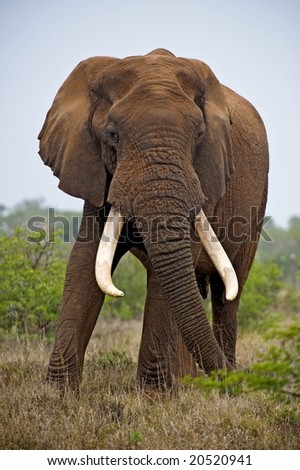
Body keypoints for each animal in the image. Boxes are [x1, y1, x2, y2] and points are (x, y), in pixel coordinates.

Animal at [38, 49, 270, 392]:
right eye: (112, 134)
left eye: (199, 135)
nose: (234, 382)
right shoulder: (97, 172)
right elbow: (84, 262)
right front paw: (58, 393)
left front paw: (153, 395)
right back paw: (191, 380)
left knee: (227, 290)